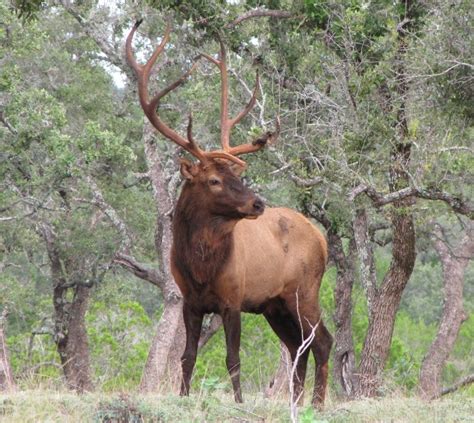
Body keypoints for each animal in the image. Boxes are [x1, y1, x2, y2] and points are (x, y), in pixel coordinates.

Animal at [126, 21, 334, 410]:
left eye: (238, 175)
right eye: (214, 180)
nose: (258, 203)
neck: (202, 267)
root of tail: (322, 237)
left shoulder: (233, 298)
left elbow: (232, 358)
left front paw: (238, 402)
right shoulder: (190, 302)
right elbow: (187, 357)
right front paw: (183, 396)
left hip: (305, 290)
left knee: (323, 341)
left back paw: (316, 404)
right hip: (274, 305)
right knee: (298, 345)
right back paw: (296, 402)